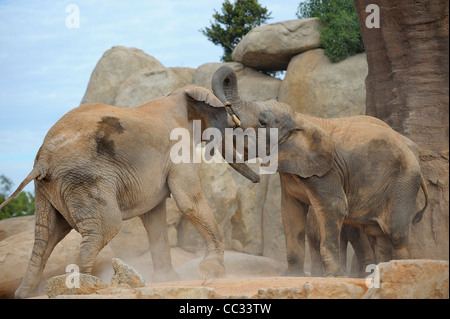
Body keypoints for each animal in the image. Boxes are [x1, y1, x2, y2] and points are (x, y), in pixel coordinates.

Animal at [0, 84, 258, 298]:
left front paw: (167, 279)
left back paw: (26, 293)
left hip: (48, 188)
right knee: (104, 227)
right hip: (86, 178)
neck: (178, 95)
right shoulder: (179, 147)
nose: (257, 179)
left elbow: (155, 218)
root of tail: (43, 159)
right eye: (230, 124)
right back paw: (85, 286)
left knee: (46, 236)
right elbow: (189, 201)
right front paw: (212, 270)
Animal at [211, 67, 428, 278]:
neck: (299, 117)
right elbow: (290, 213)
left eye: (263, 122)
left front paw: (333, 276)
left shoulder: (327, 170)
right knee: (377, 233)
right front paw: (292, 276)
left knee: (395, 233)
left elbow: (334, 207)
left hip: (403, 183)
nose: (256, 180)